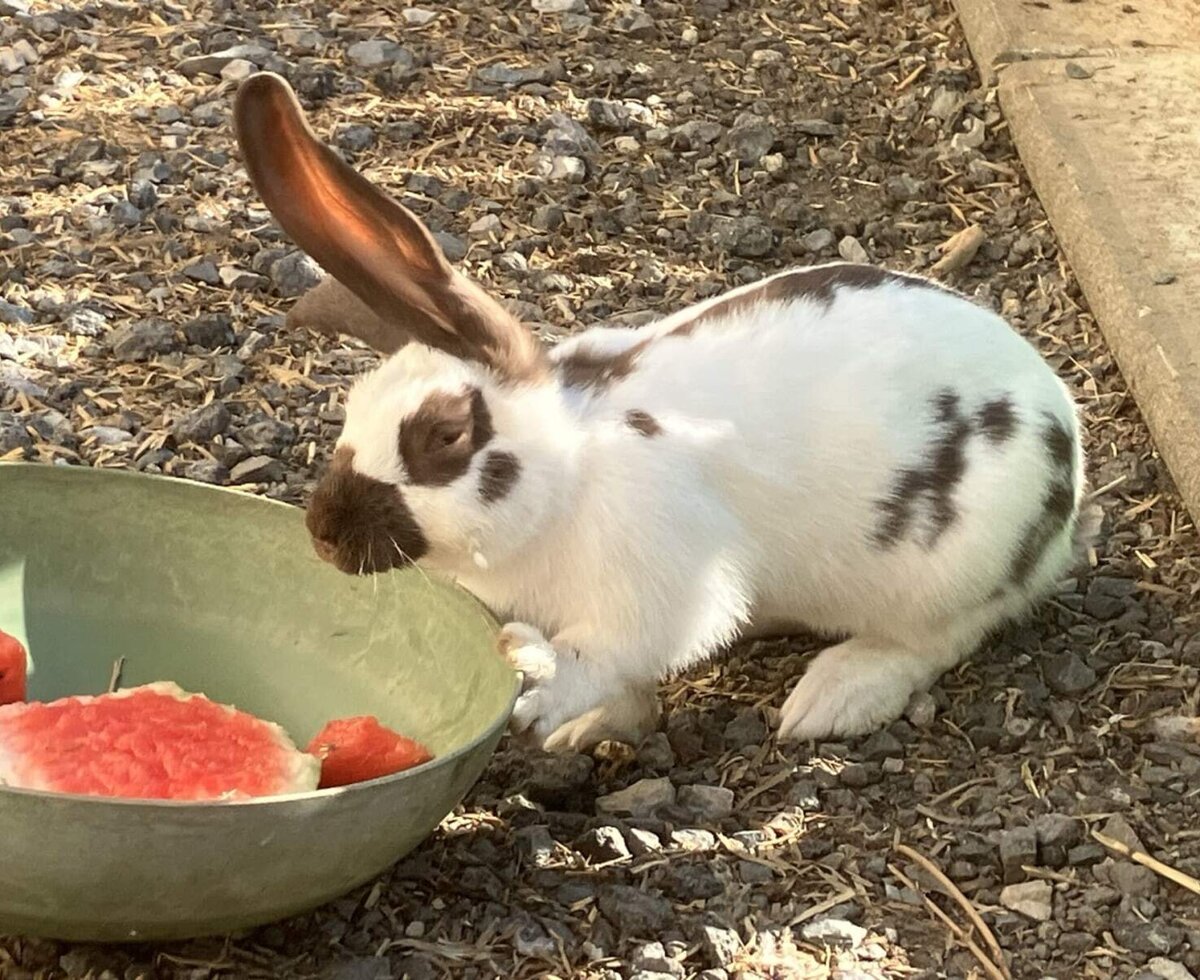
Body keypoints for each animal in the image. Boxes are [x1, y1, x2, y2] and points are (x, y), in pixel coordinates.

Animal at [234, 72, 1097, 752]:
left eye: (445, 435)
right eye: (352, 411)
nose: (323, 534)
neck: (568, 476)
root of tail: (1063, 433)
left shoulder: (652, 590)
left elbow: (603, 655)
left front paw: (543, 689)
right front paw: (598, 726)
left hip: (957, 565)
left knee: (938, 637)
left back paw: (834, 697)